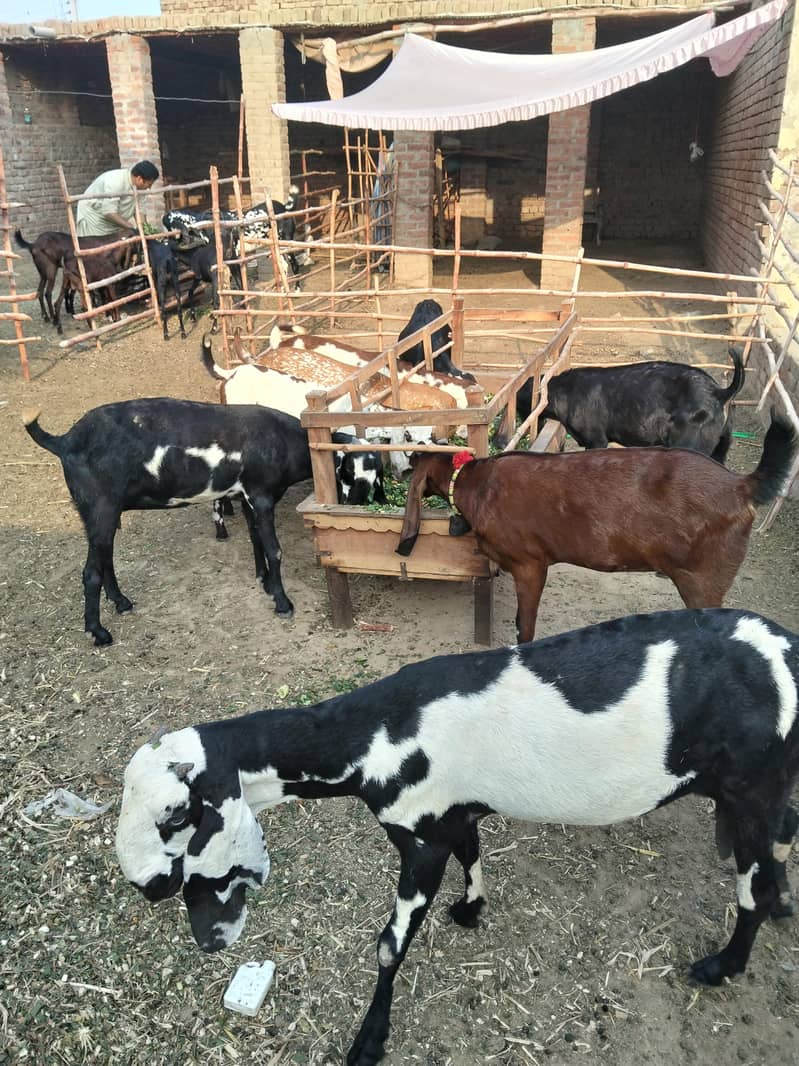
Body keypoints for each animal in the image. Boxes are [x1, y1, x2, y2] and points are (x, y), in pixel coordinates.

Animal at [22, 399, 320, 645]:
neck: (286, 439)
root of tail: (64, 441)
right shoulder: (260, 494)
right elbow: (274, 549)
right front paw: (283, 603)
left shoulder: (247, 497)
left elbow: (255, 537)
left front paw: (265, 583)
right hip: (100, 507)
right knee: (91, 572)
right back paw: (98, 632)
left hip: (103, 512)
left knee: (105, 556)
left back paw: (121, 602)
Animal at [116, 607, 799, 1066]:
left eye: (175, 816)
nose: (148, 887)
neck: (373, 734)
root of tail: (786, 647)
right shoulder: (455, 816)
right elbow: (473, 854)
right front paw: (471, 909)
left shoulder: (421, 840)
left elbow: (388, 947)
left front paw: (369, 1040)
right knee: (783, 842)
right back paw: (785, 906)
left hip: (751, 787)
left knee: (753, 887)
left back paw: (724, 964)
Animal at [397, 415, 797, 643]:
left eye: (415, 459)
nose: (402, 467)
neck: (476, 484)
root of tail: (741, 485)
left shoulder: (530, 563)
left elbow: (525, 625)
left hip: (704, 577)